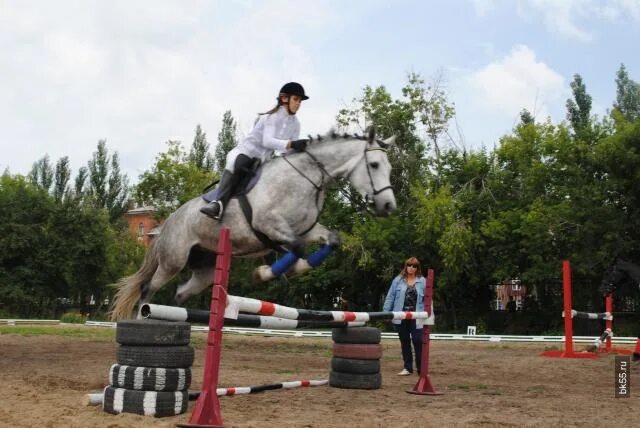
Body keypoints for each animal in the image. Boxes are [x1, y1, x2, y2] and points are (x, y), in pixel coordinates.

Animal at [112, 129, 398, 320]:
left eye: (390, 168)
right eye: (374, 165)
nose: (388, 206)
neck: (305, 178)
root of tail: (169, 221)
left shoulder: (306, 230)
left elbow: (330, 241)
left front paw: (292, 269)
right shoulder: (271, 225)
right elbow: (295, 248)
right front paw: (265, 273)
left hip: (205, 268)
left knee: (181, 293)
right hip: (173, 260)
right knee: (148, 289)